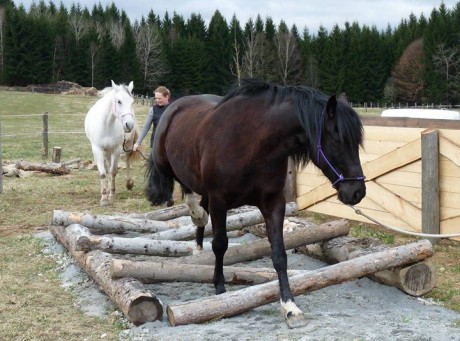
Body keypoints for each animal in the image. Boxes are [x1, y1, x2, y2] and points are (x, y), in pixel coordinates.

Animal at [146, 79, 364, 326]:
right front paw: (219, 287)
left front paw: (290, 306)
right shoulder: (220, 201)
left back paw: (198, 246)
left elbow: (279, 254)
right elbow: (220, 244)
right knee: (184, 186)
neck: (252, 143)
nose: (357, 192)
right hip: (165, 164)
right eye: (337, 140)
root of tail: (175, 105)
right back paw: (197, 216)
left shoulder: (273, 203)